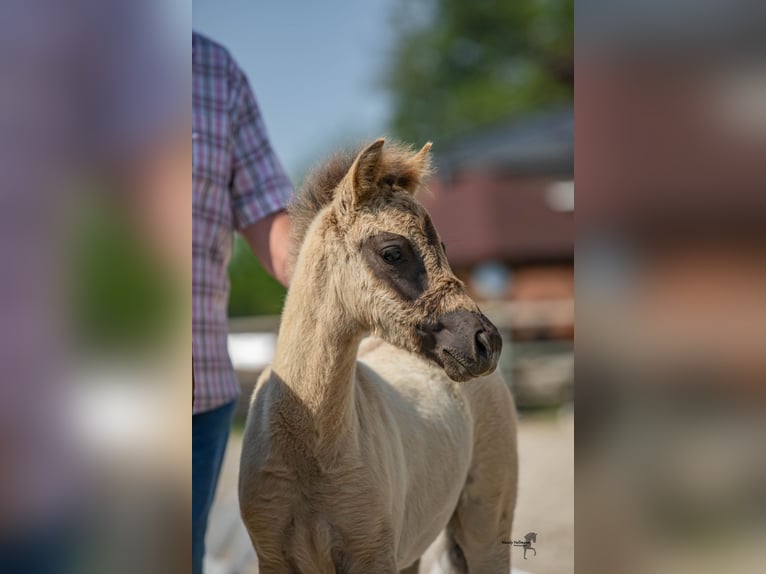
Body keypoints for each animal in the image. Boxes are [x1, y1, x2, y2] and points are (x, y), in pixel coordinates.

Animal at [237, 141, 520, 574]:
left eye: (444, 248)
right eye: (392, 253)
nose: (485, 342)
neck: (310, 451)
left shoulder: (372, 555)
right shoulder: (272, 558)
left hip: (486, 529)